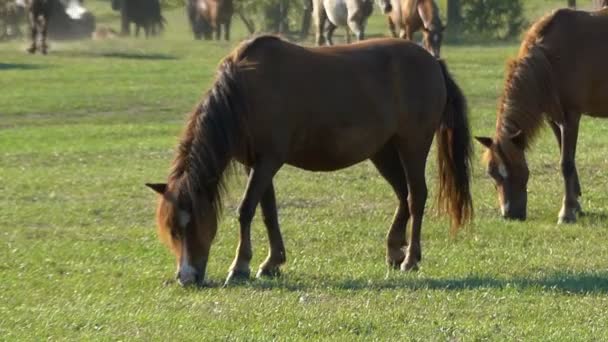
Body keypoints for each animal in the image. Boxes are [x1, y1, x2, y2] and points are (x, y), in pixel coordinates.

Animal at [145, 34, 472, 286]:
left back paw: (411, 258)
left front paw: (240, 266)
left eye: (192, 225)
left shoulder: (268, 161)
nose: (186, 278)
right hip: (383, 151)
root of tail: (432, 61)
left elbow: (246, 209)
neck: (244, 94)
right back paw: (394, 250)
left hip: (413, 144)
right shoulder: (257, 163)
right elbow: (268, 212)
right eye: (172, 229)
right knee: (403, 195)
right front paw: (272, 262)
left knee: (416, 196)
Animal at [478, 8, 608, 224]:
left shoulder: (571, 117)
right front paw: (576, 206)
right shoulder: (554, 118)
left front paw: (567, 212)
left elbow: (566, 164)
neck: (550, 60)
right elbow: (567, 157)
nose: (509, 214)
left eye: (517, 168)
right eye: (491, 172)